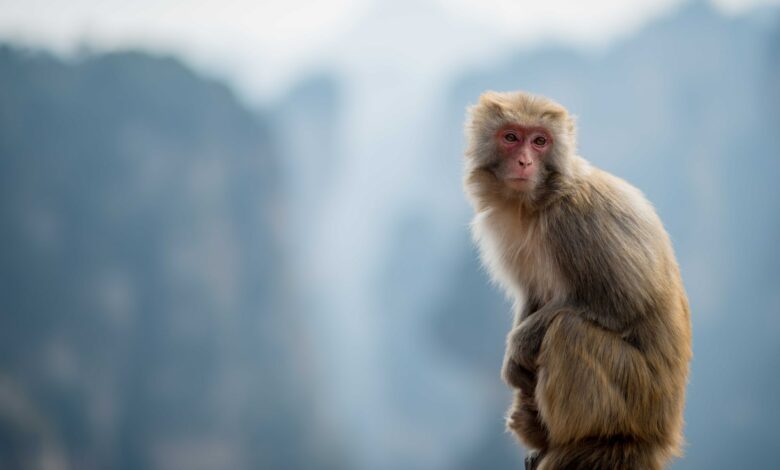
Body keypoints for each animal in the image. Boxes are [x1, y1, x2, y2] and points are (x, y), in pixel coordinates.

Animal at [460, 92, 692, 470]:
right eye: (511, 137)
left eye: (540, 142)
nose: (524, 161)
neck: (539, 202)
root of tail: (661, 435)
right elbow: (532, 295)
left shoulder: (577, 222)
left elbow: (622, 302)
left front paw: (517, 350)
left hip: (638, 395)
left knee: (569, 330)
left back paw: (580, 441)